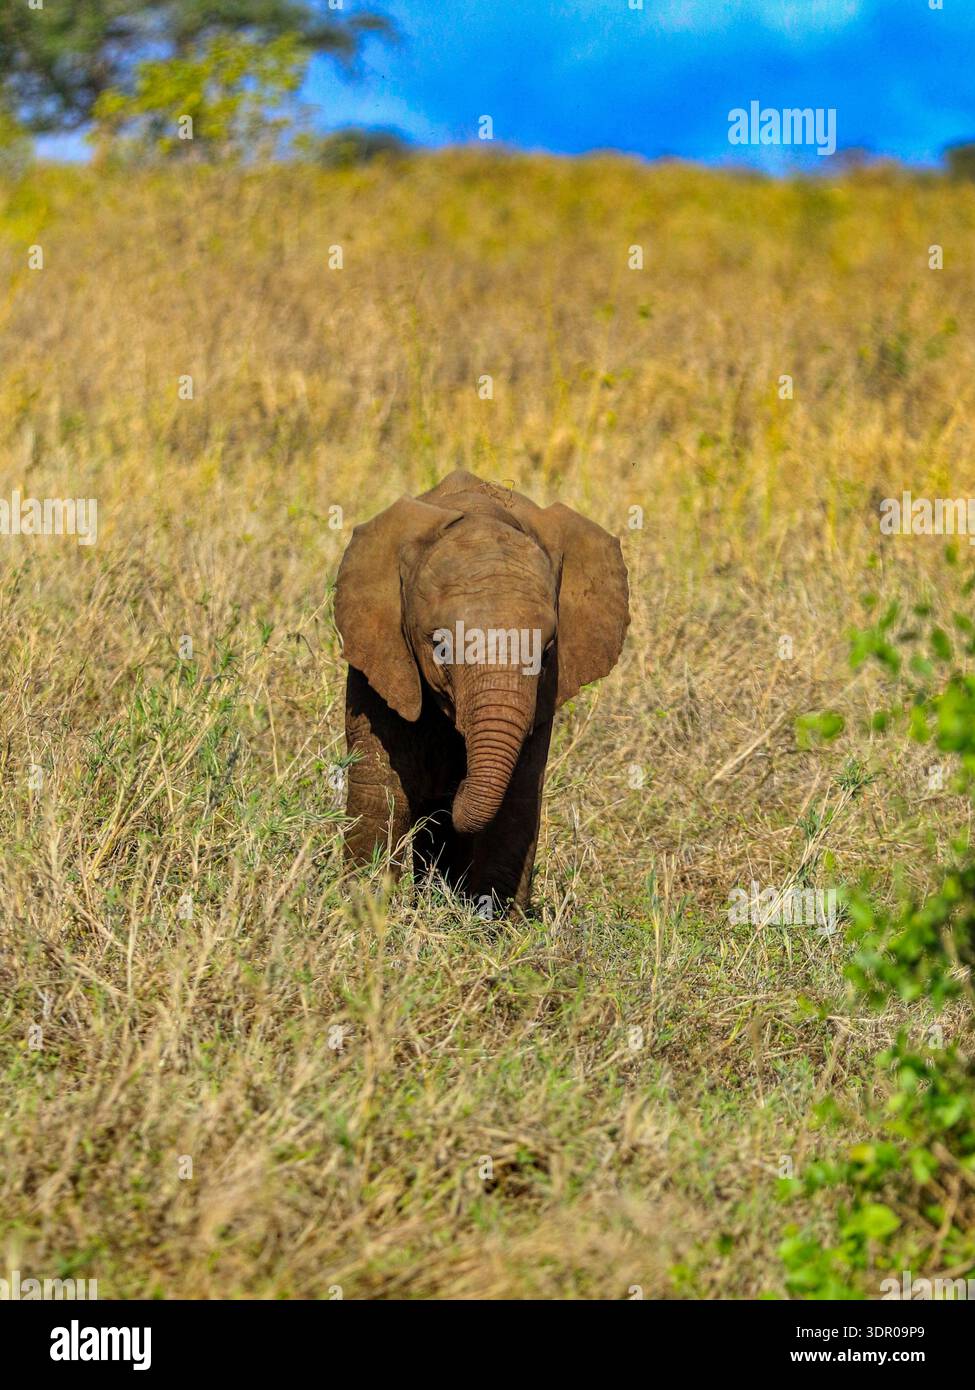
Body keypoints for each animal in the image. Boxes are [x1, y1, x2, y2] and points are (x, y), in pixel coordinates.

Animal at [333, 469, 629, 913]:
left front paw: (493, 923)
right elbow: (381, 788)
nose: (454, 787)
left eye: (547, 651)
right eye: (439, 646)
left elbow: (517, 800)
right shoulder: (381, 657)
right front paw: (361, 913)